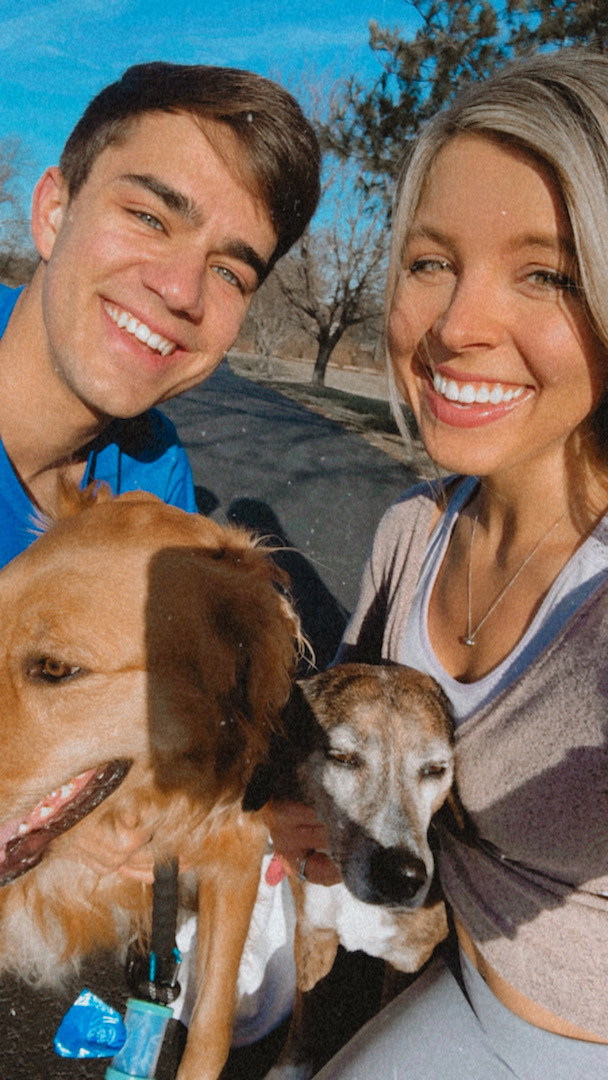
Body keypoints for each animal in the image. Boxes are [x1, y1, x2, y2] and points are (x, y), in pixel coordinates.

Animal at [245, 665, 453, 1080]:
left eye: (436, 769)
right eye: (341, 757)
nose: (403, 876)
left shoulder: (409, 958)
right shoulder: (313, 934)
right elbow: (305, 1020)